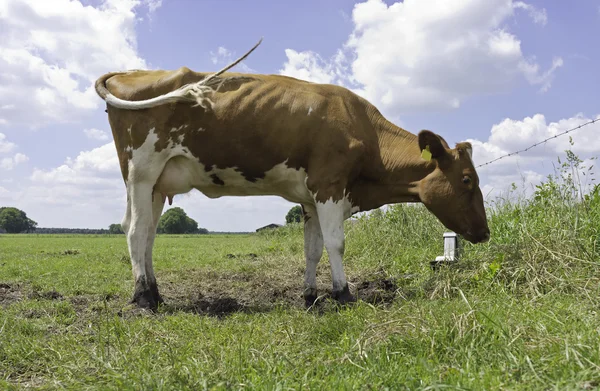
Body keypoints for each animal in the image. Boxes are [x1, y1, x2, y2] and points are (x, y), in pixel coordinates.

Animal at [92, 38, 488, 310]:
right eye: (467, 179)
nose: (485, 233)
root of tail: (133, 72)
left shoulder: (311, 199)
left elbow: (312, 249)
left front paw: (310, 296)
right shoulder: (330, 186)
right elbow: (336, 243)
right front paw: (343, 294)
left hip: (158, 185)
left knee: (148, 234)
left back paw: (155, 291)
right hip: (141, 172)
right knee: (135, 230)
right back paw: (143, 298)